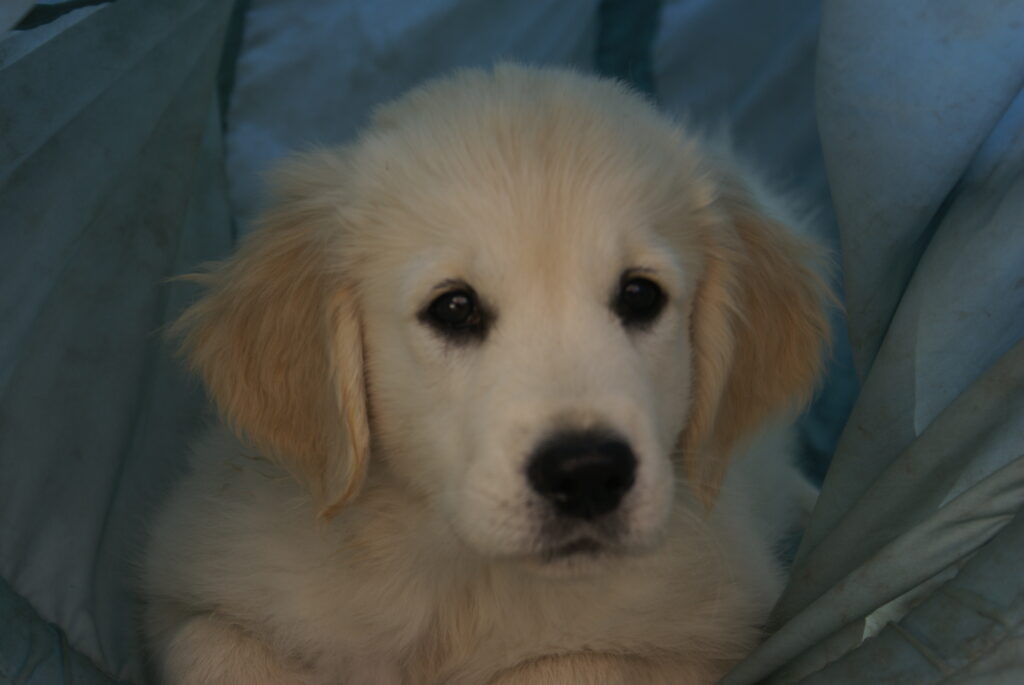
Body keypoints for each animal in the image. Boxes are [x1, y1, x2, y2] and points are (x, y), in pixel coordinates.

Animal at [142, 64, 830, 684]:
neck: (463, 582)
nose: (587, 472)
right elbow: (211, 645)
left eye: (640, 296)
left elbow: (570, 664)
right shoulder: (196, 581)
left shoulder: (714, 633)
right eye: (454, 307)